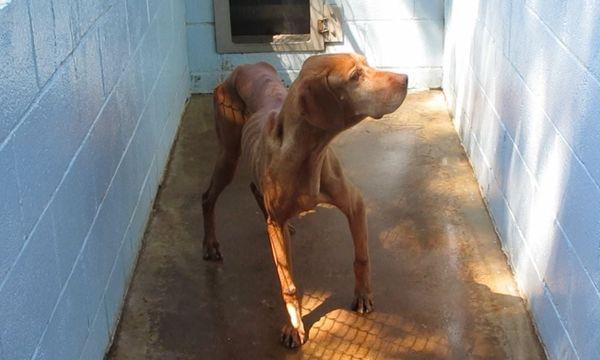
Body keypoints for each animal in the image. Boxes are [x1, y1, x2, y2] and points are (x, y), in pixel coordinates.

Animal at [202, 53, 408, 348]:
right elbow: (288, 284)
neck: (309, 152)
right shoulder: (276, 224)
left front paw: (363, 295)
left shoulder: (355, 204)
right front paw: (294, 326)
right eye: (355, 76)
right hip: (228, 156)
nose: (406, 79)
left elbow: (362, 257)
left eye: (365, 64)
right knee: (208, 197)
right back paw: (210, 244)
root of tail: (243, 66)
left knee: (254, 189)